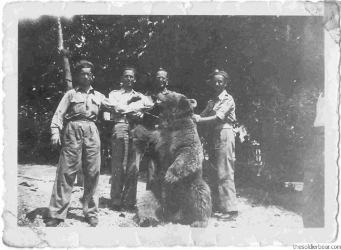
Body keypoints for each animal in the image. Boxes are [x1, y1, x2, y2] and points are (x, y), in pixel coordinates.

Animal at [132, 91, 210, 228]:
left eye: (171, 93)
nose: (159, 92)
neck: (171, 120)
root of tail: (173, 215)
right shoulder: (158, 138)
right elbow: (148, 146)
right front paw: (138, 130)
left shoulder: (185, 135)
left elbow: (187, 153)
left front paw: (170, 176)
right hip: (156, 191)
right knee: (145, 200)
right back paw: (148, 219)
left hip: (191, 184)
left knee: (201, 195)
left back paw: (199, 221)